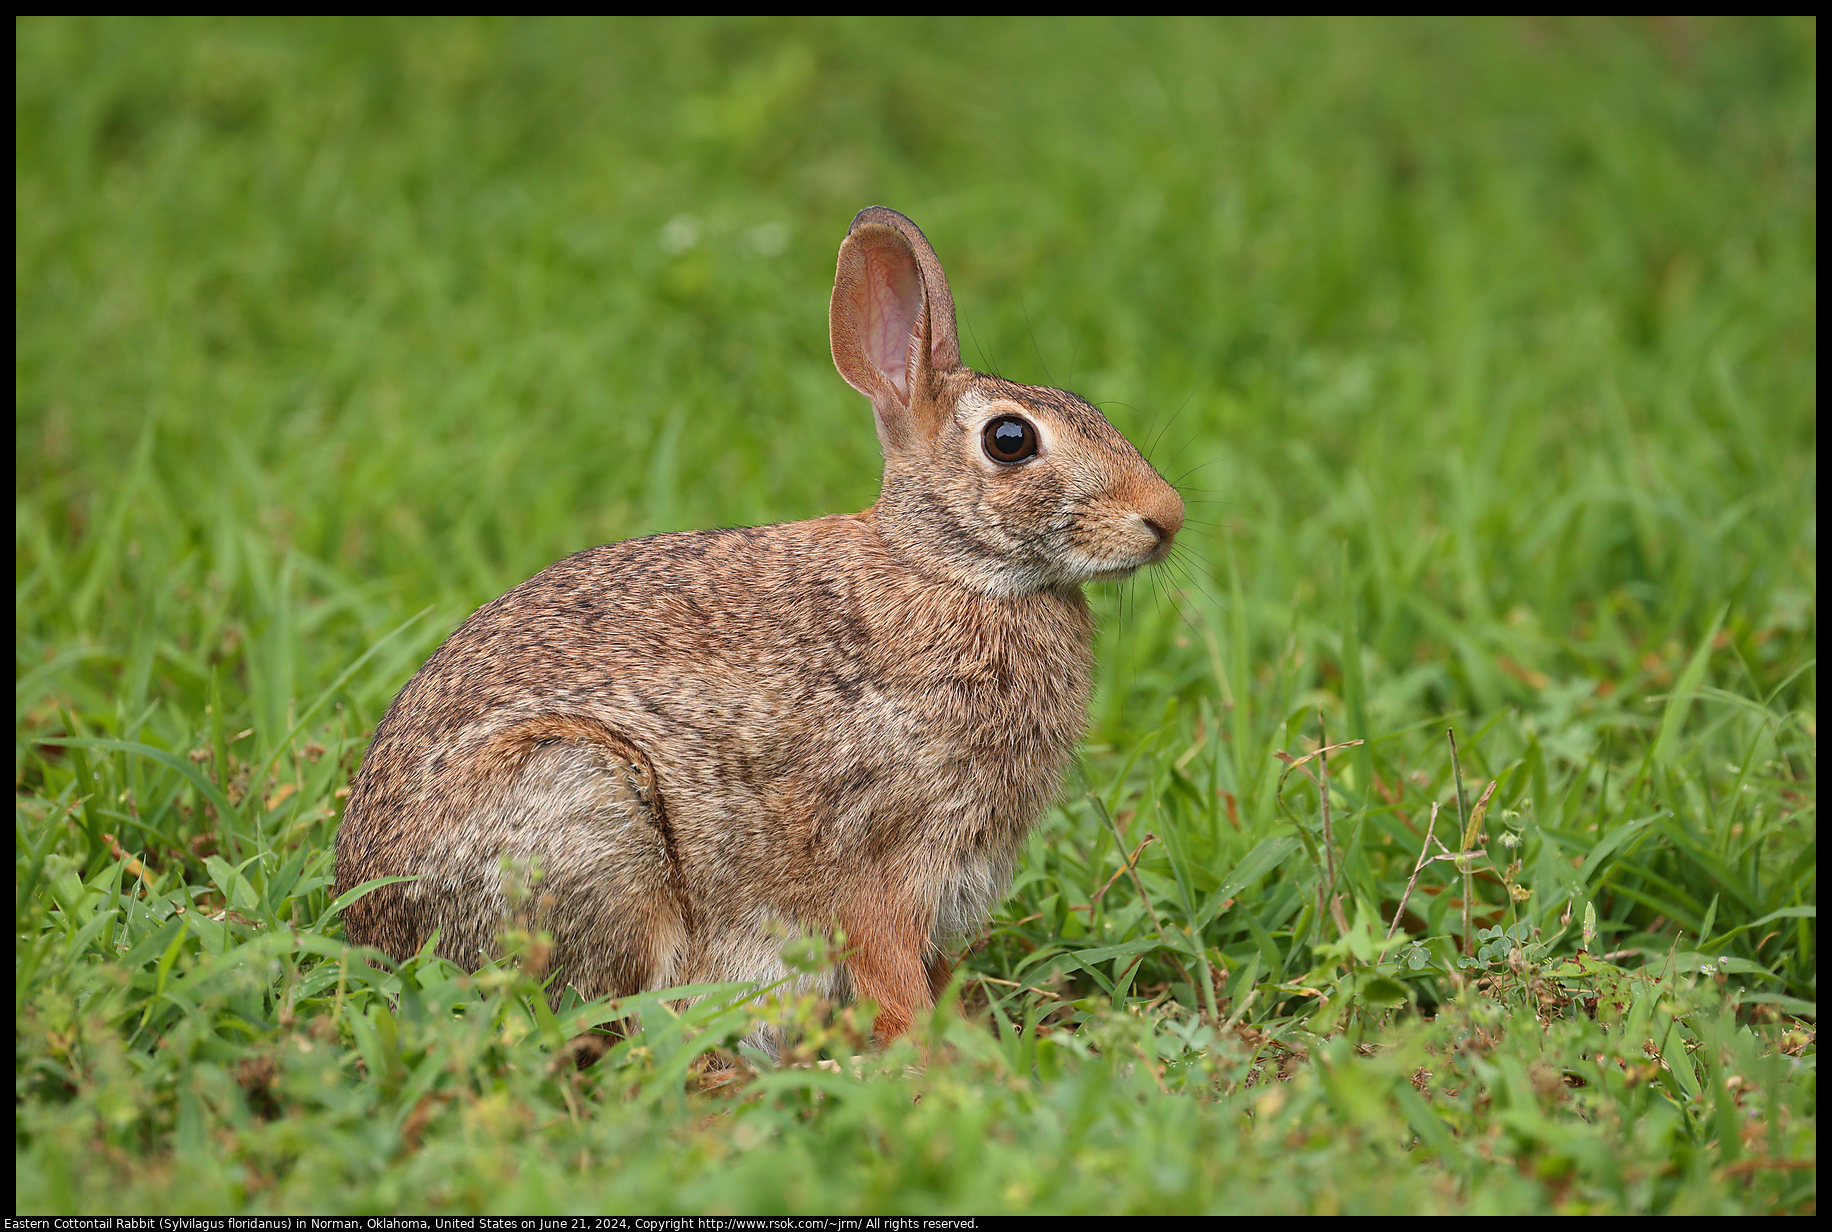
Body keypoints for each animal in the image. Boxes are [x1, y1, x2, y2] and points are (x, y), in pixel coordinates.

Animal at [333, 207, 1187, 1056]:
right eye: (1011, 441)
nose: (1167, 517)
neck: (945, 567)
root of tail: (371, 929)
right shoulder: (878, 853)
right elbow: (888, 969)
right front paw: (931, 1055)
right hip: (590, 812)